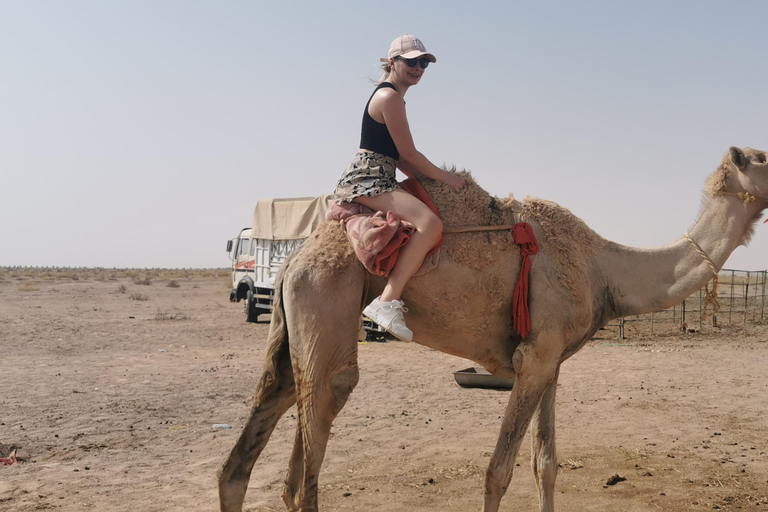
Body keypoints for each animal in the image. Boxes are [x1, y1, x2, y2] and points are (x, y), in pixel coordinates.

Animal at [218, 147, 768, 512]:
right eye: (763, 157)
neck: (604, 271)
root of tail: (292, 263)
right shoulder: (533, 359)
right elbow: (498, 471)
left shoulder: (551, 361)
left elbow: (545, 463)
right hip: (328, 306)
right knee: (312, 446)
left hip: (294, 332)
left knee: (248, 453)